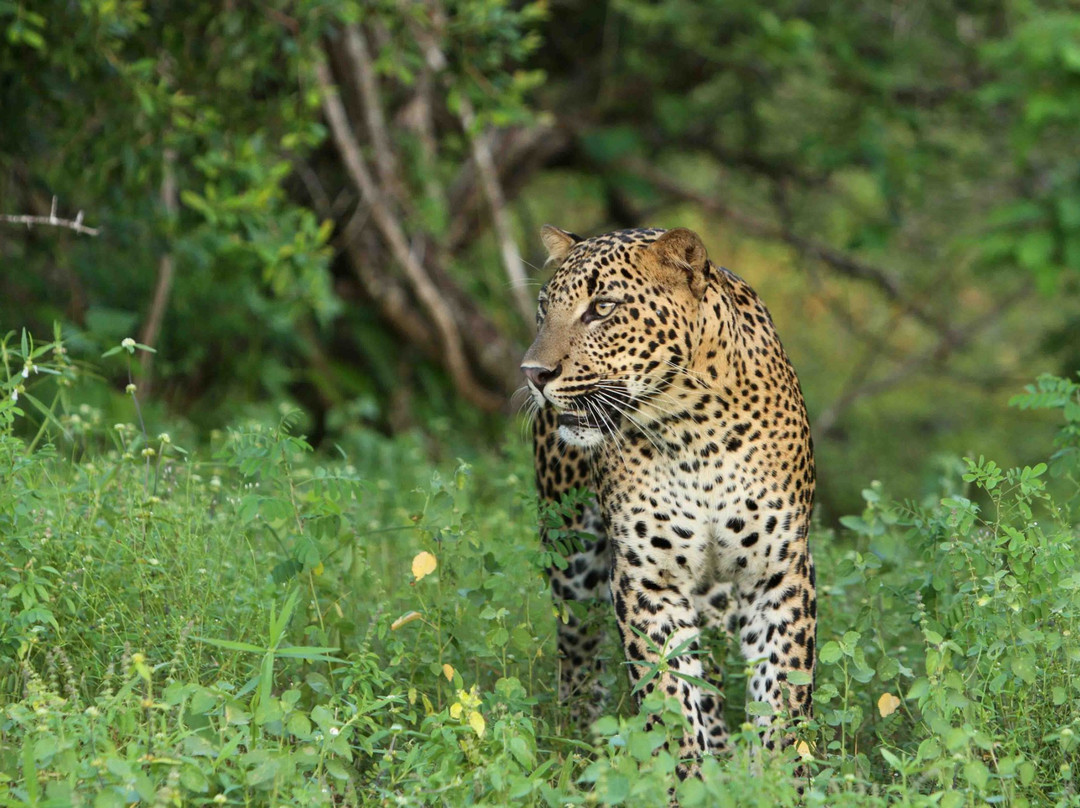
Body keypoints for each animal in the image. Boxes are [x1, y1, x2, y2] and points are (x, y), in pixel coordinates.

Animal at [522, 225, 817, 778]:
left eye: (603, 308)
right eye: (543, 310)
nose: (533, 374)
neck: (694, 430)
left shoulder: (779, 573)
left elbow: (784, 692)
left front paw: (776, 779)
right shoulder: (646, 578)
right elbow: (670, 698)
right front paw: (688, 780)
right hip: (572, 555)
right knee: (577, 650)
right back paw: (579, 739)